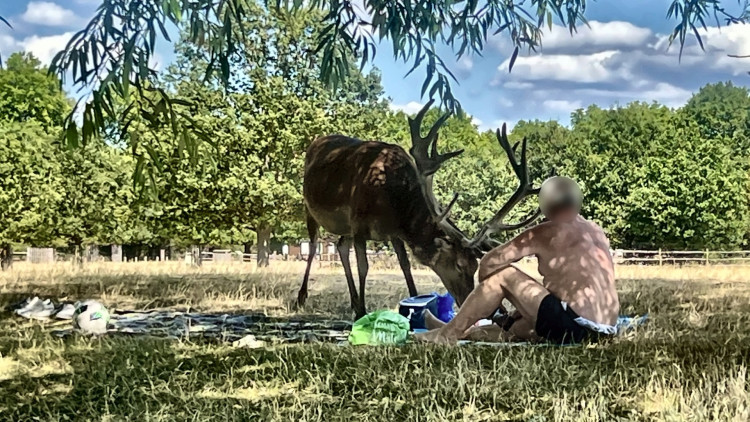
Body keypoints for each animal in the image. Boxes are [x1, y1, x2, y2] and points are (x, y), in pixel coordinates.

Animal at [296, 100, 542, 318]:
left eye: (475, 266)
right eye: (460, 265)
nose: (471, 301)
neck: (392, 201)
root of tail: (316, 142)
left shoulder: (392, 232)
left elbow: (405, 266)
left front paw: (414, 301)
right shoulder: (358, 224)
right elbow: (364, 266)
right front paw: (363, 313)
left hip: (343, 227)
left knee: (340, 246)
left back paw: (353, 302)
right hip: (310, 206)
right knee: (315, 244)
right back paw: (303, 297)